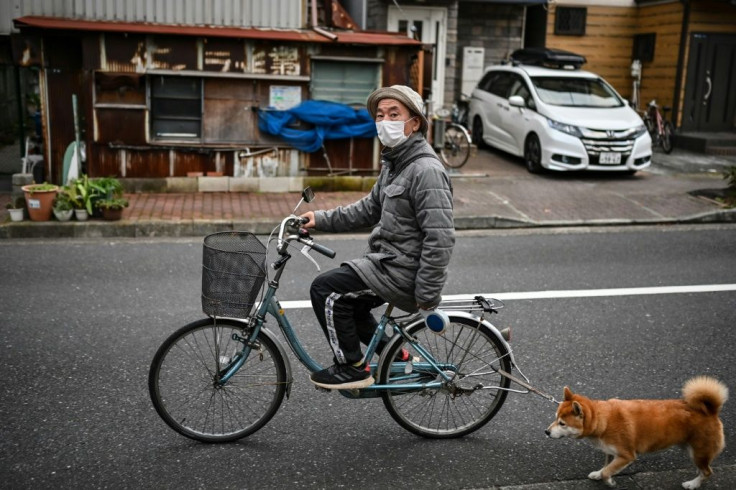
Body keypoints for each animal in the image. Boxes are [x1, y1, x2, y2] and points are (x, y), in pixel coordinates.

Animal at [544, 376, 728, 486]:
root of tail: (710, 411)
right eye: (555, 418)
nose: (546, 432)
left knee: (707, 472)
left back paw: (692, 484)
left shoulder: (626, 455)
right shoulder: (610, 451)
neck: (603, 420)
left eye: (562, 423)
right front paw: (598, 473)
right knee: (703, 469)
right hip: (692, 450)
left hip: (698, 451)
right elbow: (606, 465)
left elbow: (608, 470)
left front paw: (609, 481)